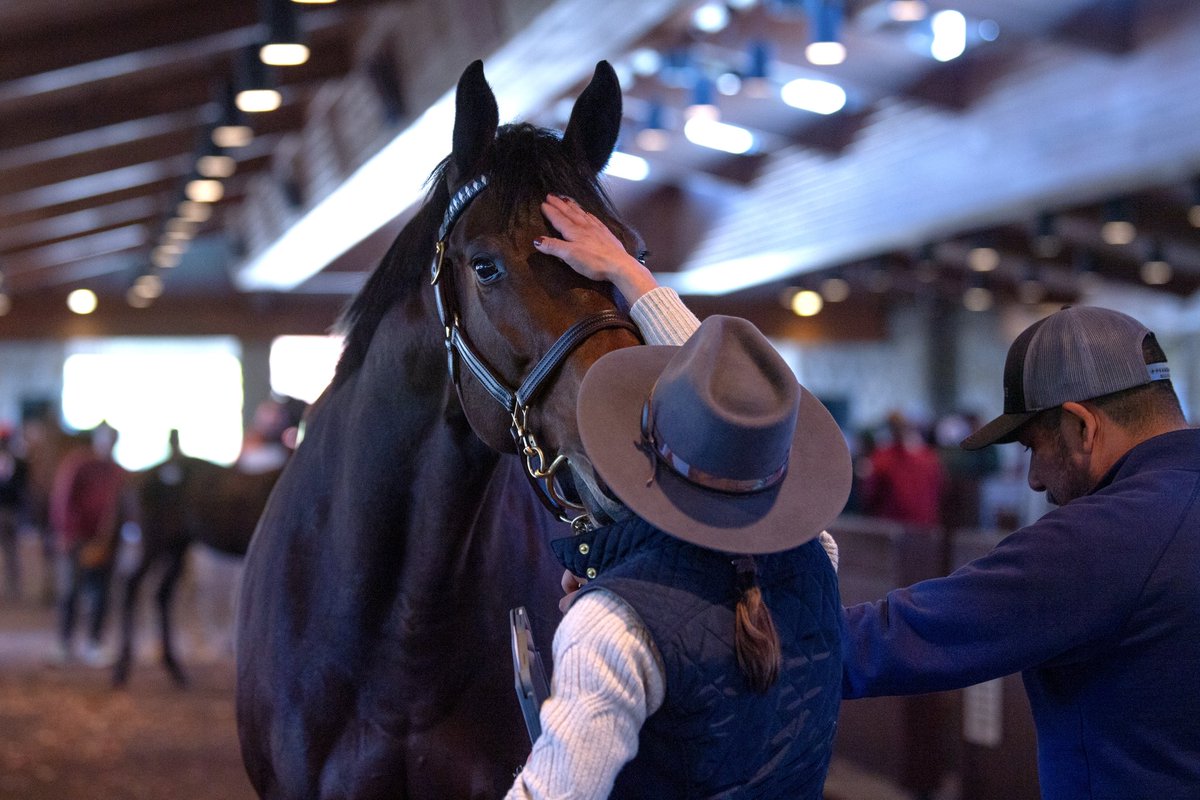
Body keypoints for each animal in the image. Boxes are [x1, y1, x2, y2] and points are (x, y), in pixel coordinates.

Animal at [112, 433, 283, 688]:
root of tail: (138, 477)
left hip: (176, 546)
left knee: (162, 593)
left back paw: (175, 669)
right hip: (155, 541)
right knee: (132, 585)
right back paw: (122, 669)